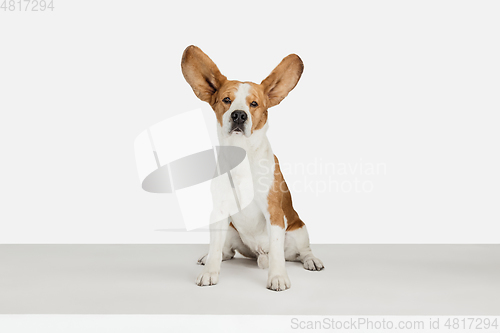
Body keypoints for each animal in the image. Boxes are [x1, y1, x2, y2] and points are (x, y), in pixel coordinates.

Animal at [181, 44, 324, 290]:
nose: (239, 115)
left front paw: (278, 277)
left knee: (301, 252)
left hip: (298, 230)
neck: (242, 155)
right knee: (226, 251)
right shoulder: (219, 211)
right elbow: (215, 248)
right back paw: (210, 257)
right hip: (230, 230)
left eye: (254, 104)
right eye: (226, 100)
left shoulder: (273, 212)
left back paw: (311, 260)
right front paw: (210, 271)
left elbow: (276, 252)